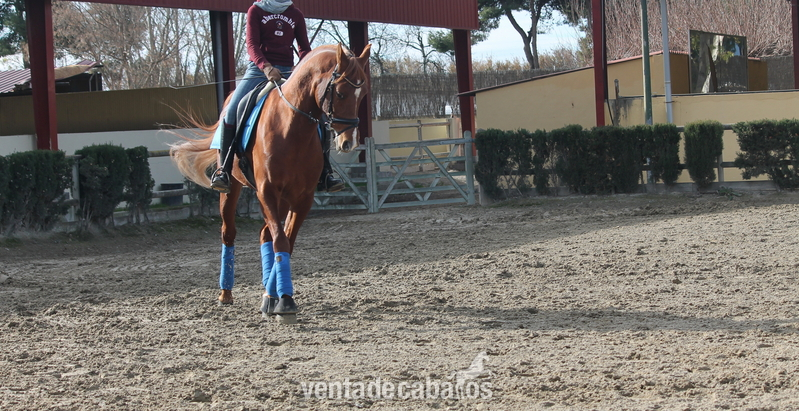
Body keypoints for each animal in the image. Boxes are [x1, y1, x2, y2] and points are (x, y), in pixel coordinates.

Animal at [171, 43, 371, 322]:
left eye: (363, 96)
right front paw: (285, 301)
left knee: (265, 233)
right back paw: (226, 294)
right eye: (341, 93)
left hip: (283, 199)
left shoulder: (303, 197)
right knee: (229, 233)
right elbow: (280, 240)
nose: (348, 143)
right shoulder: (266, 191)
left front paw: (277, 297)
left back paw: (269, 292)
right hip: (234, 189)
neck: (292, 127)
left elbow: (287, 241)